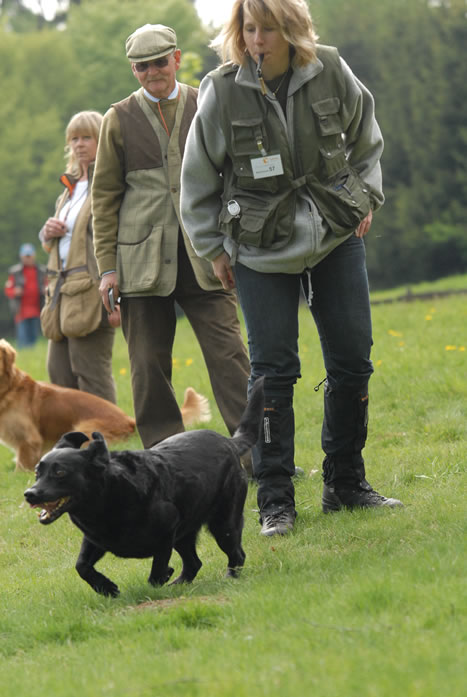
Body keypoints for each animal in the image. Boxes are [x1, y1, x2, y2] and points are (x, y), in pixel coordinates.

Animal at [24, 377, 264, 596]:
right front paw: (106, 587)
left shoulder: (167, 531)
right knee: (194, 563)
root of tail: (229, 442)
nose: (29, 494)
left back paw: (229, 577)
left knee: (235, 554)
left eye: (60, 472)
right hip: (186, 533)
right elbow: (81, 565)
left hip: (223, 523)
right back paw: (179, 583)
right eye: (37, 472)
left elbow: (156, 572)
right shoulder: (96, 539)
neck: (105, 499)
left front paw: (162, 576)